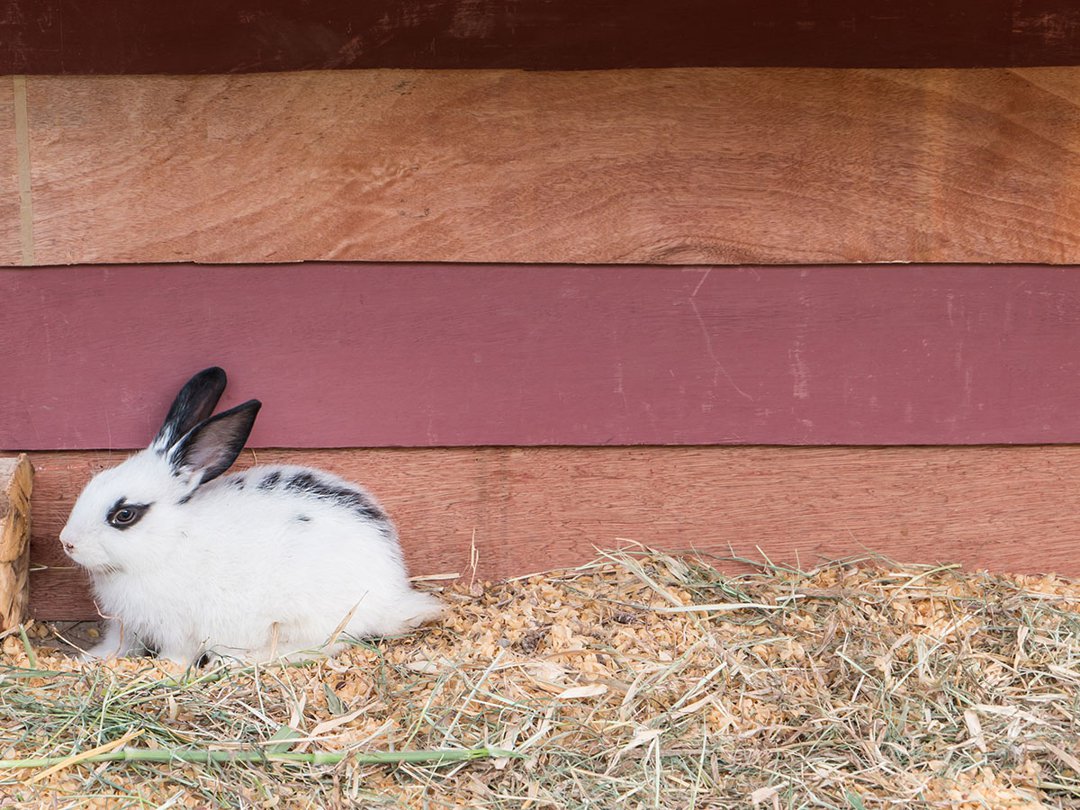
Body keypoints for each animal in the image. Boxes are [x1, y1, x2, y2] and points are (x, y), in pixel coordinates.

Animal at [56, 367, 438, 665]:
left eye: (124, 514)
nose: (67, 542)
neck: (169, 543)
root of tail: (391, 594)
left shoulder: (181, 629)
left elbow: (178, 655)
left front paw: (165, 671)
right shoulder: (125, 624)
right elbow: (118, 645)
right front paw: (91, 658)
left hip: (306, 618)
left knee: (327, 644)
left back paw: (243, 658)